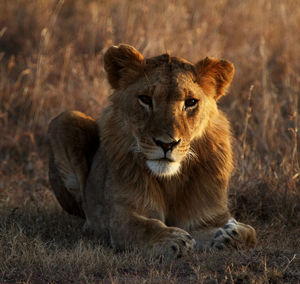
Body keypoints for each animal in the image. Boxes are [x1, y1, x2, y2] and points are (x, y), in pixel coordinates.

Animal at [47, 43, 255, 258]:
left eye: (190, 102)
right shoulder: (122, 213)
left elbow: (250, 233)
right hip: (64, 120)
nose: (167, 144)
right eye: (145, 99)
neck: (171, 180)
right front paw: (172, 239)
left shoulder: (204, 219)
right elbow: (144, 227)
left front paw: (231, 234)